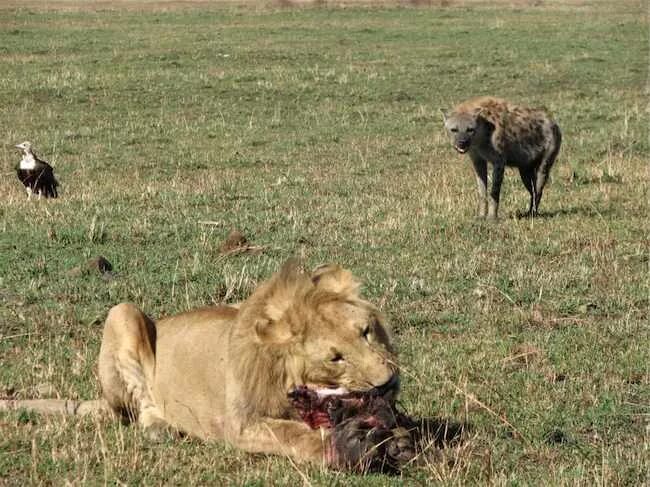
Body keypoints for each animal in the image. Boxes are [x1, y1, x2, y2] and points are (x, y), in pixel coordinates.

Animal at [98, 262, 398, 468]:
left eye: (366, 332)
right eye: (335, 358)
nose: (388, 383)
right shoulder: (240, 424)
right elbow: (287, 432)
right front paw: (348, 444)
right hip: (122, 312)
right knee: (140, 404)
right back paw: (159, 427)